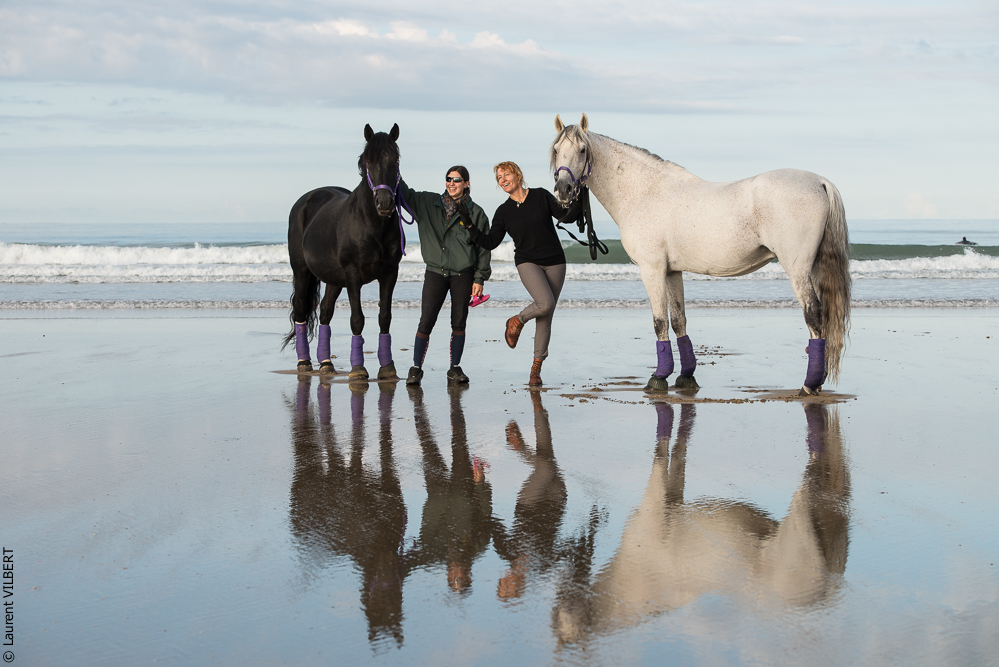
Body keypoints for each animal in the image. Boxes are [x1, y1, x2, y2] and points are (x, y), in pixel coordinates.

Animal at [283, 123, 406, 381]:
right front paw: (358, 369)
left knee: (325, 311)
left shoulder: (390, 273)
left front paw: (387, 368)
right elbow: (357, 318)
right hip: (301, 271)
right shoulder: (353, 274)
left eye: (396, 160)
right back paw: (304, 362)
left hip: (333, 278)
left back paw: (326, 363)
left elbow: (385, 316)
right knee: (300, 309)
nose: (384, 203)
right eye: (366, 162)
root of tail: (306, 199)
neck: (371, 225)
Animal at [550, 114, 851, 395]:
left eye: (582, 150)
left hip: (797, 268)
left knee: (813, 314)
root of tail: (820, 182)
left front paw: (659, 377)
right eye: (556, 149)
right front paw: (685, 377)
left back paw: (809, 385)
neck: (644, 193)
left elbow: (659, 321)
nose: (563, 190)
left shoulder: (651, 269)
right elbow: (678, 320)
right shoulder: (672, 271)